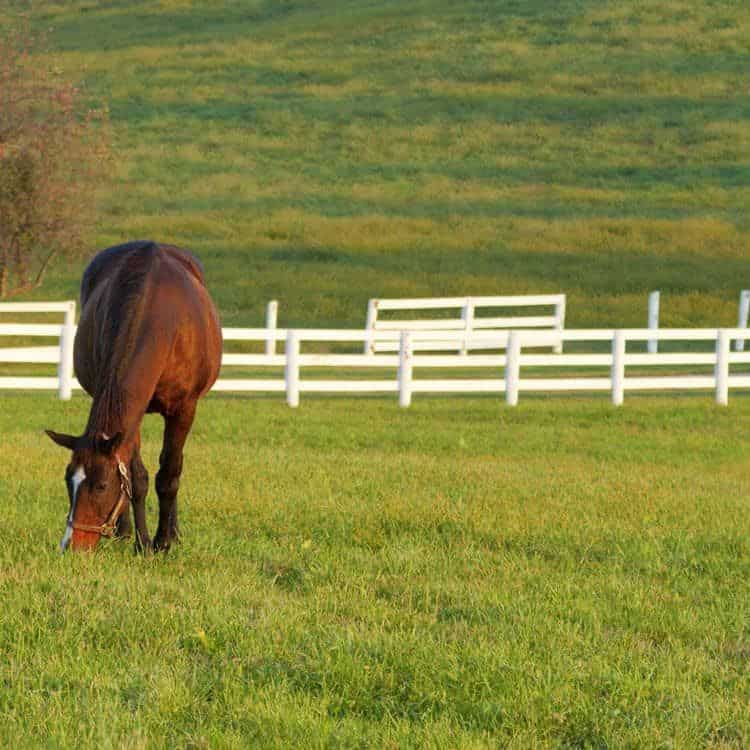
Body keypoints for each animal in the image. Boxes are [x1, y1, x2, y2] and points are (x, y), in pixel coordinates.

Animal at [46, 241, 222, 552]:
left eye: (101, 486)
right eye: (68, 481)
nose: (71, 545)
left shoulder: (184, 408)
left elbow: (169, 474)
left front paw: (163, 541)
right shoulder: (133, 413)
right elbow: (136, 477)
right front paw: (142, 543)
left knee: (174, 466)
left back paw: (173, 532)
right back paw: (125, 531)